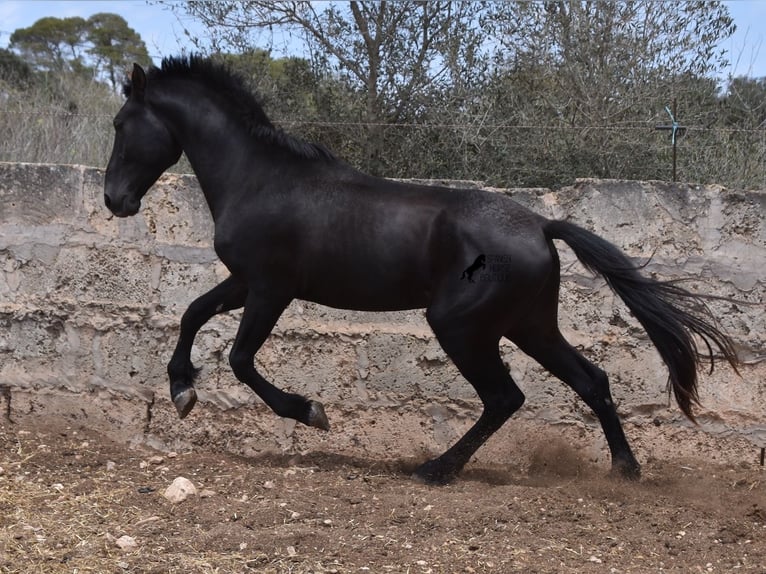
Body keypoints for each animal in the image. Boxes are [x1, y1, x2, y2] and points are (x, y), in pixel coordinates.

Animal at [105, 56, 740, 484]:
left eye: (119, 124)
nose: (115, 200)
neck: (259, 178)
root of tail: (540, 225)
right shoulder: (244, 283)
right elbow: (192, 313)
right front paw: (181, 390)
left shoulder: (269, 289)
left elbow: (239, 359)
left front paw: (311, 413)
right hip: (529, 326)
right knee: (592, 380)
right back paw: (624, 470)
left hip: (461, 326)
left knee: (505, 397)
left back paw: (437, 468)